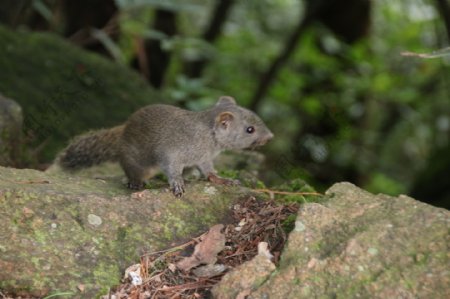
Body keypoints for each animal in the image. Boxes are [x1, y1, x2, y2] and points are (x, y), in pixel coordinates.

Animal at [57, 97, 272, 198]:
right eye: (250, 129)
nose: (270, 137)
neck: (208, 138)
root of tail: (123, 130)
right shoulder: (172, 151)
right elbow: (172, 168)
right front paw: (177, 183)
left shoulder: (203, 158)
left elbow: (209, 171)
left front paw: (221, 179)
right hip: (135, 160)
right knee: (131, 170)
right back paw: (135, 182)